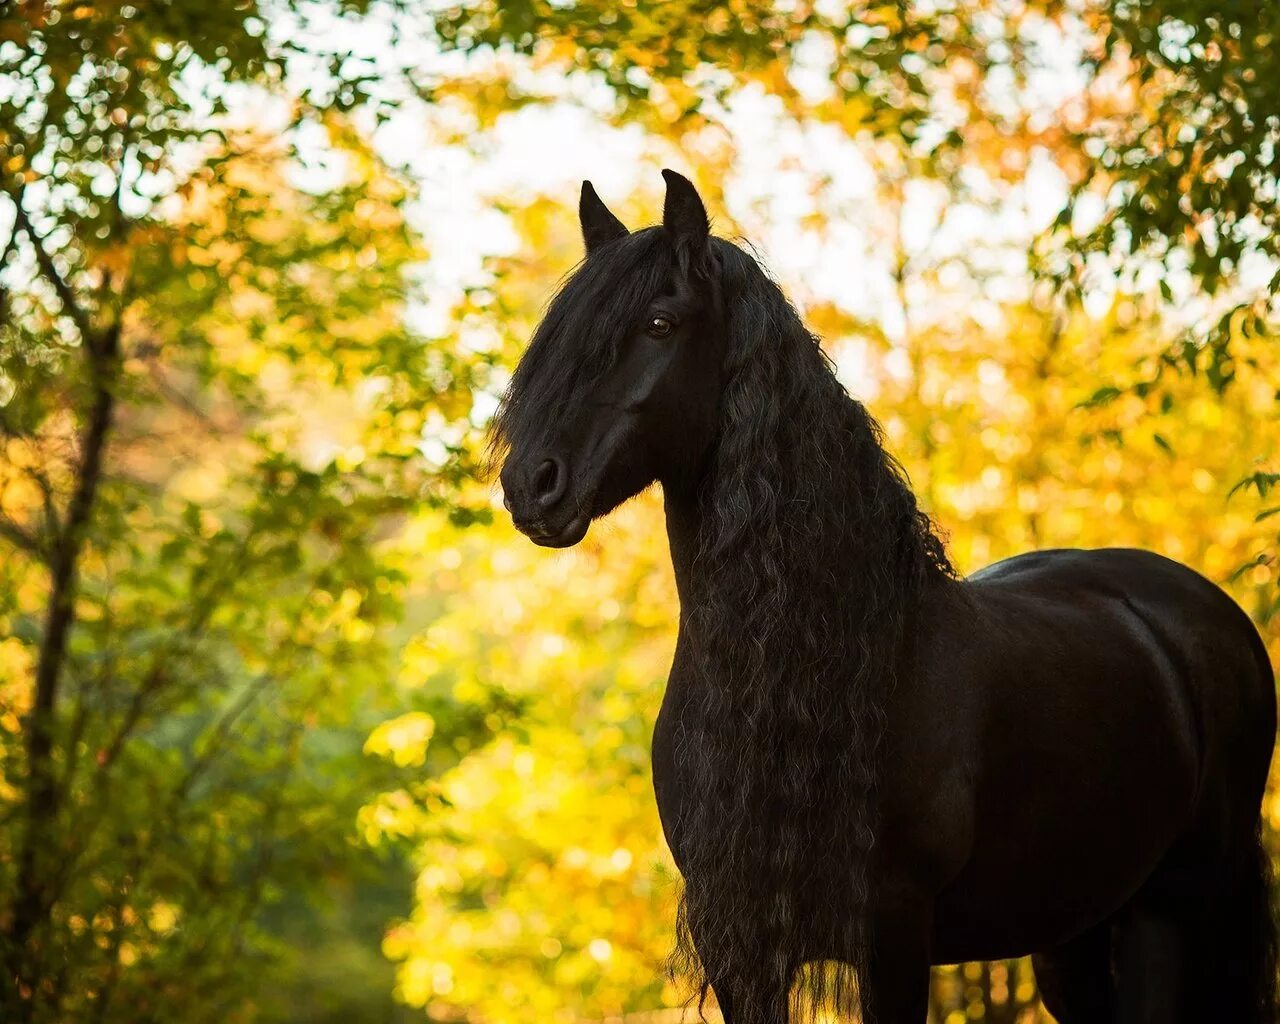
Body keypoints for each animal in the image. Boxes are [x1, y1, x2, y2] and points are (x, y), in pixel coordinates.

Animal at [491, 171, 1280, 1018]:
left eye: (660, 324)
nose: (532, 484)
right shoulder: (740, 950)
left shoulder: (892, 933)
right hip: (1073, 930)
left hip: (1173, 911)